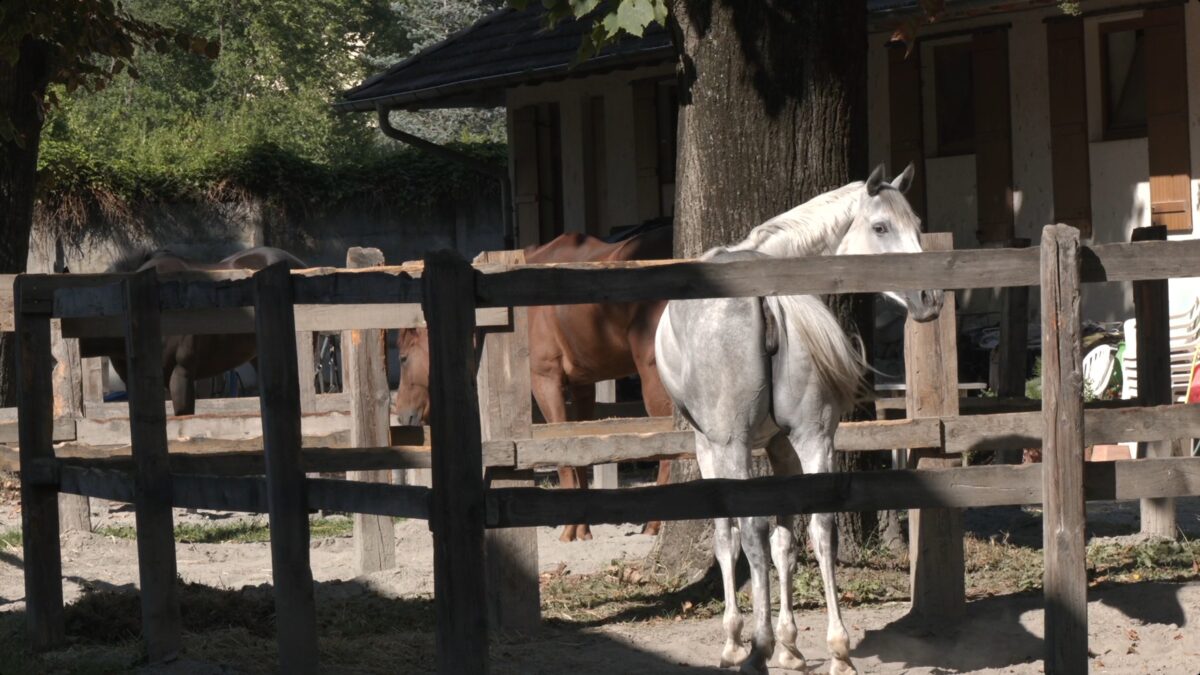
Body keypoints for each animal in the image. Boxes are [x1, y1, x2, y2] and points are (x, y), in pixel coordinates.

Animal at [394, 226, 675, 542]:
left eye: (403, 358)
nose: (402, 414)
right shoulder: (582, 386)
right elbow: (580, 451)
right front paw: (583, 528)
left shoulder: (545, 382)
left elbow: (563, 451)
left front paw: (569, 529)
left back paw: (654, 524)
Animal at [654, 164, 943, 675]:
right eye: (882, 227)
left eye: (916, 226)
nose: (929, 297)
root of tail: (767, 297)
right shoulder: (782, 446)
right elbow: (787, 540)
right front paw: (791, 644)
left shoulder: (710, 445)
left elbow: (729, 537)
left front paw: (738, 640)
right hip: (814, 438)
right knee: (821, 528)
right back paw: (837, 650)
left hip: (733, 445)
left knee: (751, 532)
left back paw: (758, 648)